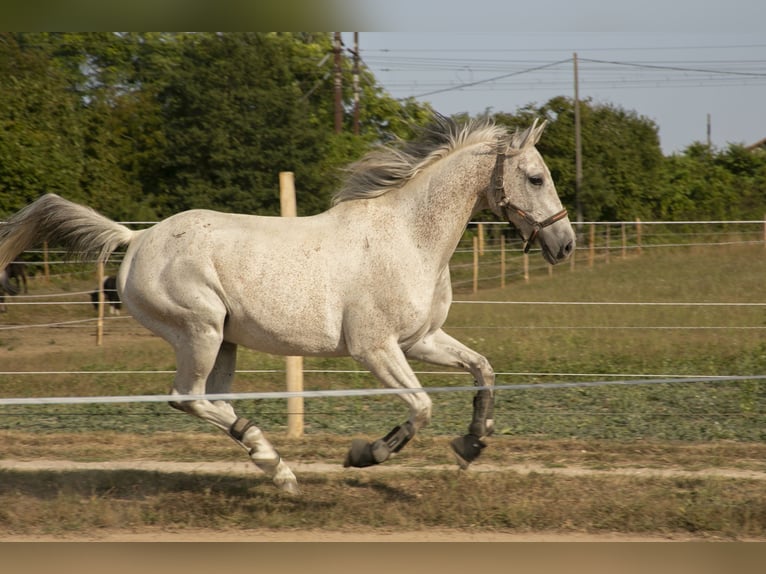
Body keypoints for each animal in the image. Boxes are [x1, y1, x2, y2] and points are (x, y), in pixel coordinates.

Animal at [0, 116, 576, 496]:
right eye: (536, 178)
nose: (565, 244)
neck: (409, 238)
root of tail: (136, 239)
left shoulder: (421, 341)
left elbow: (484, 370)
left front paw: (471, 445)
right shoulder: (376, 349)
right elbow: (421, 407)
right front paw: (364, 455)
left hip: (224, 342)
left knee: (210, 400)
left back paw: (271, 462)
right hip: (200, 332)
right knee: (186, 397)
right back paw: (274, 462)